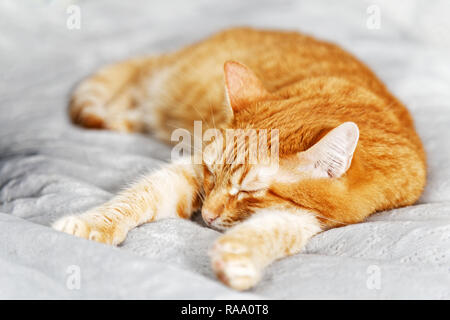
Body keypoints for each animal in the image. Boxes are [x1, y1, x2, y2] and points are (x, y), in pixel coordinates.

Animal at [52, 28, 426, 292]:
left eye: (248, 191)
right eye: (210, 171)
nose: (205, 216)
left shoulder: (317, 217)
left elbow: (277, 227)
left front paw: (238, 257)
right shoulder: (188, 170)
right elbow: (135, 197)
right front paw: (91, 224)